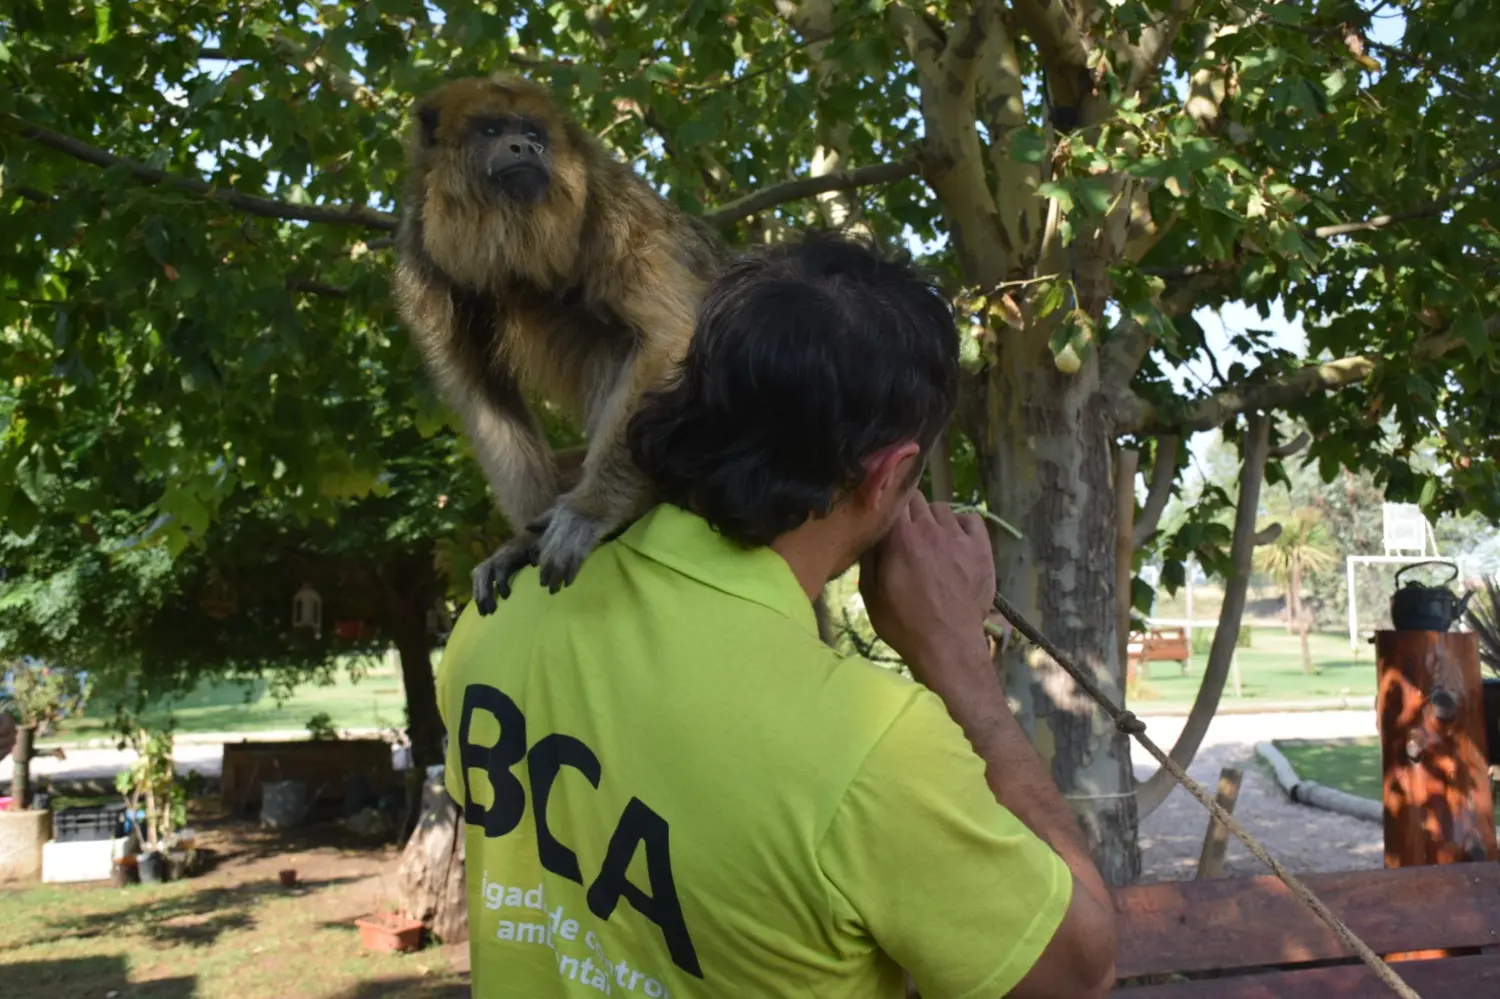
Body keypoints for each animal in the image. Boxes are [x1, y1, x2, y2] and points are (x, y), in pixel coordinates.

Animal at [392, 73, 727, 615]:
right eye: (490, 129)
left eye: (533, 132)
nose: (525, 146)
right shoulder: (422, 266)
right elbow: (483, 396)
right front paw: (521, 542)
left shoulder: (616, 211)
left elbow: (673, 333)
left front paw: (592, 509)